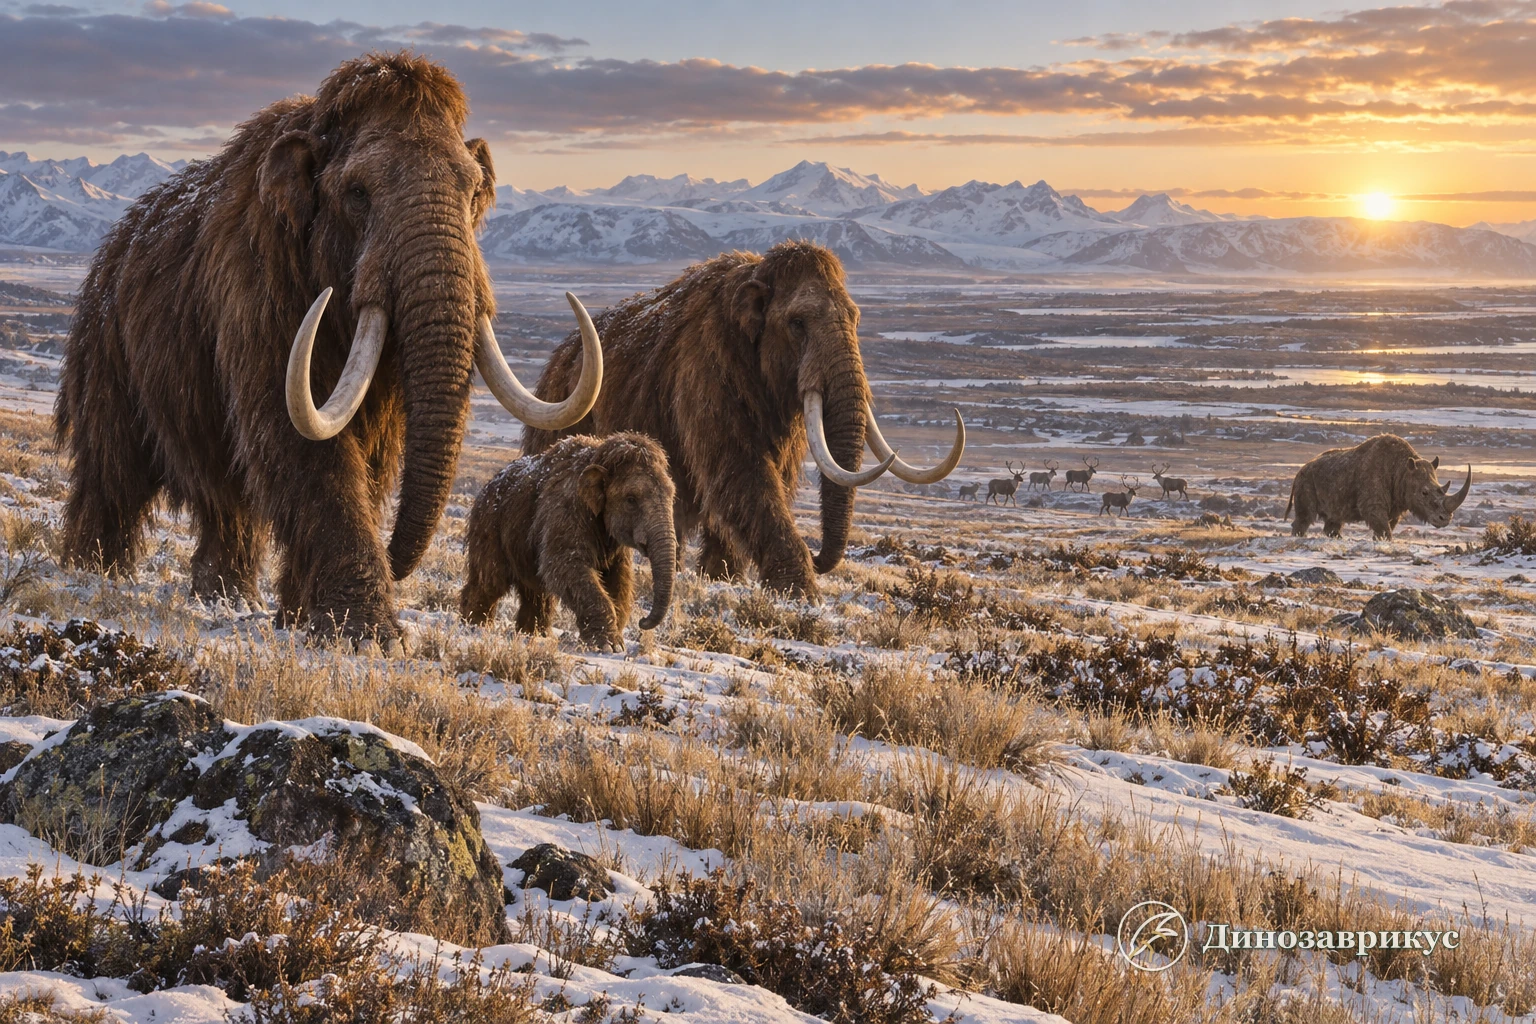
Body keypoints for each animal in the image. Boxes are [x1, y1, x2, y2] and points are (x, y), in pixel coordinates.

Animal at [1286, 434, 1470, 540]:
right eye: (1424, 493)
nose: (1445, 519)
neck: (1403, 469)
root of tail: (1300, 469)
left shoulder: (1397, 503)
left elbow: (1387, 526)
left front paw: (1379, 541)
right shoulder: (1373, 504)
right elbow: (1383, 527)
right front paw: (1384, 541)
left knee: (1334, 519)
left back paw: (1336, 537)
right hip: (1305, 480)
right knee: (1306, 517)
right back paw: (1299, 536)